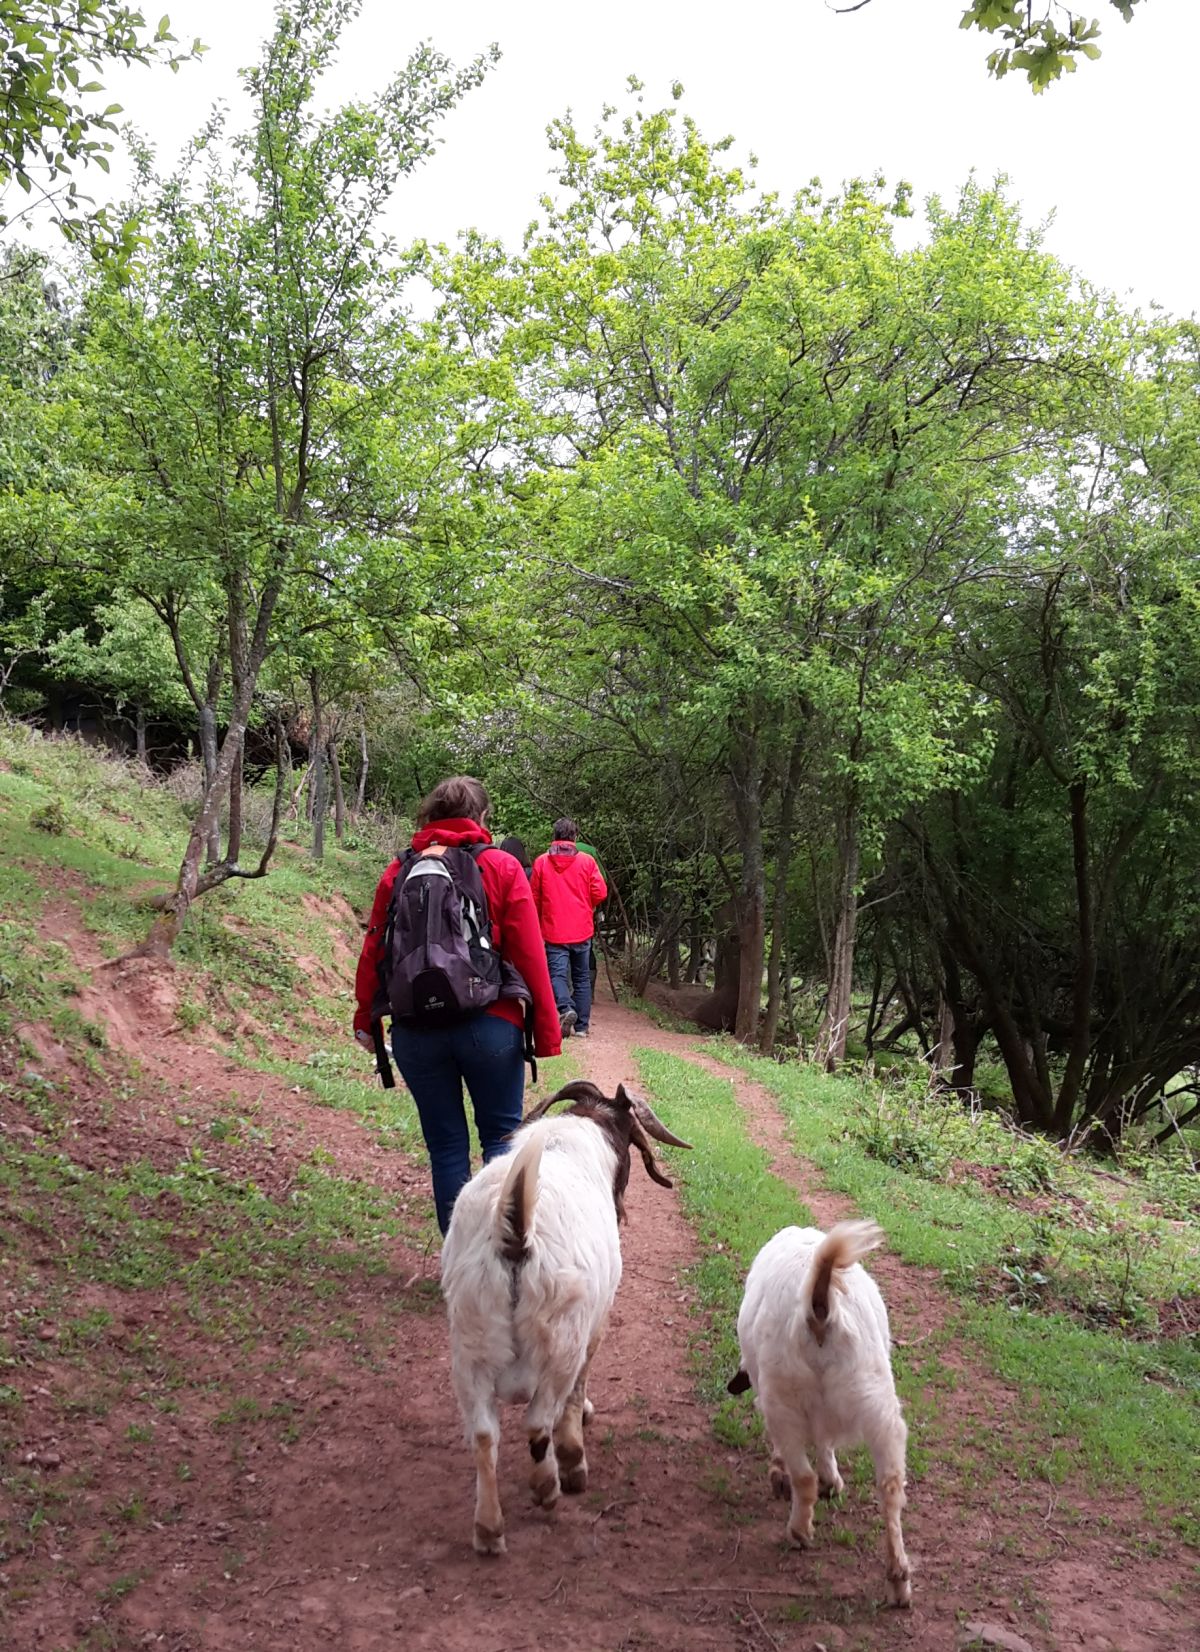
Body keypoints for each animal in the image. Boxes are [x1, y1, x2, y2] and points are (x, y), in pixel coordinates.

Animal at [442, 1077, 690, 1552]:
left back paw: (488, 1529)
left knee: (483, 1435)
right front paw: (575, 1455)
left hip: (469, 1345)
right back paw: (551, 1485)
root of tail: (514, 1231)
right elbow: (578, 1390)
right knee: (539, 1422)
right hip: (560, 1338)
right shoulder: (594, 1324)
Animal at [727, 1222, 919, 1605]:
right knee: (891, 1488)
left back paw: (799, 1530)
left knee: (804, 1477)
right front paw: (833, 1480)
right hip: (880, 1404)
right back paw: (898, 1580)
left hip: (783, 1398)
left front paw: (782, 1474)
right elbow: (826, 1442)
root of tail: (819, 1310)